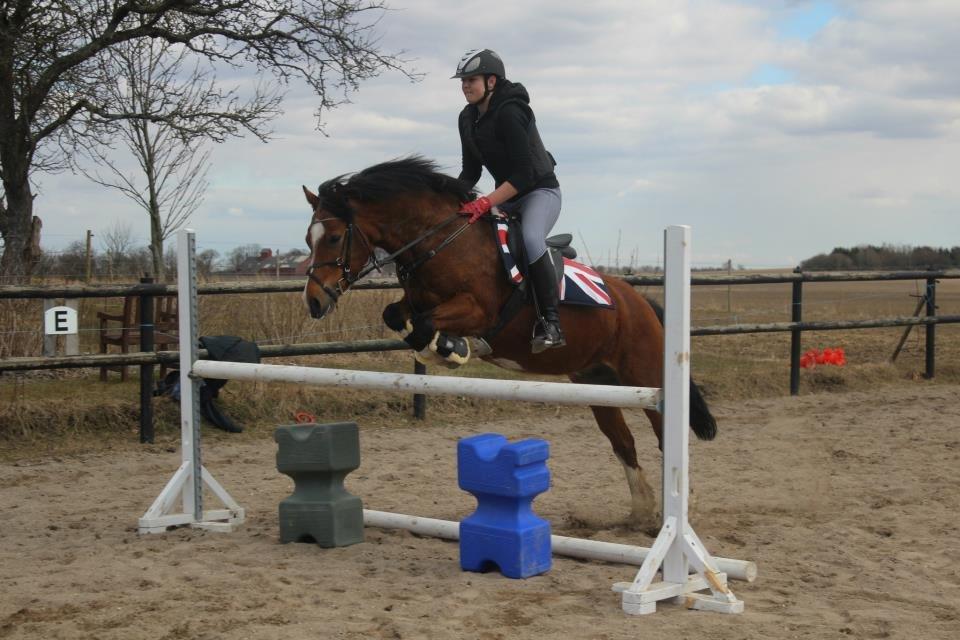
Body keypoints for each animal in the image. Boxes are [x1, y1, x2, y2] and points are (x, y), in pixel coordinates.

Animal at [300, 158, 712, 528]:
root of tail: (640, 302)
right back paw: (640, 514)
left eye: (334, 238)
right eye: (308, 239)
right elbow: (398, 317)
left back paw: (681, 508)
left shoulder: (478, 309)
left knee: (664, 435)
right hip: (597, 384)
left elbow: (426, 325)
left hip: (646, 377)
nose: (315, 302)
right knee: (623, 442)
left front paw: (455, 350)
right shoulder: (414, 302)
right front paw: (446, 348)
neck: (440, 241)